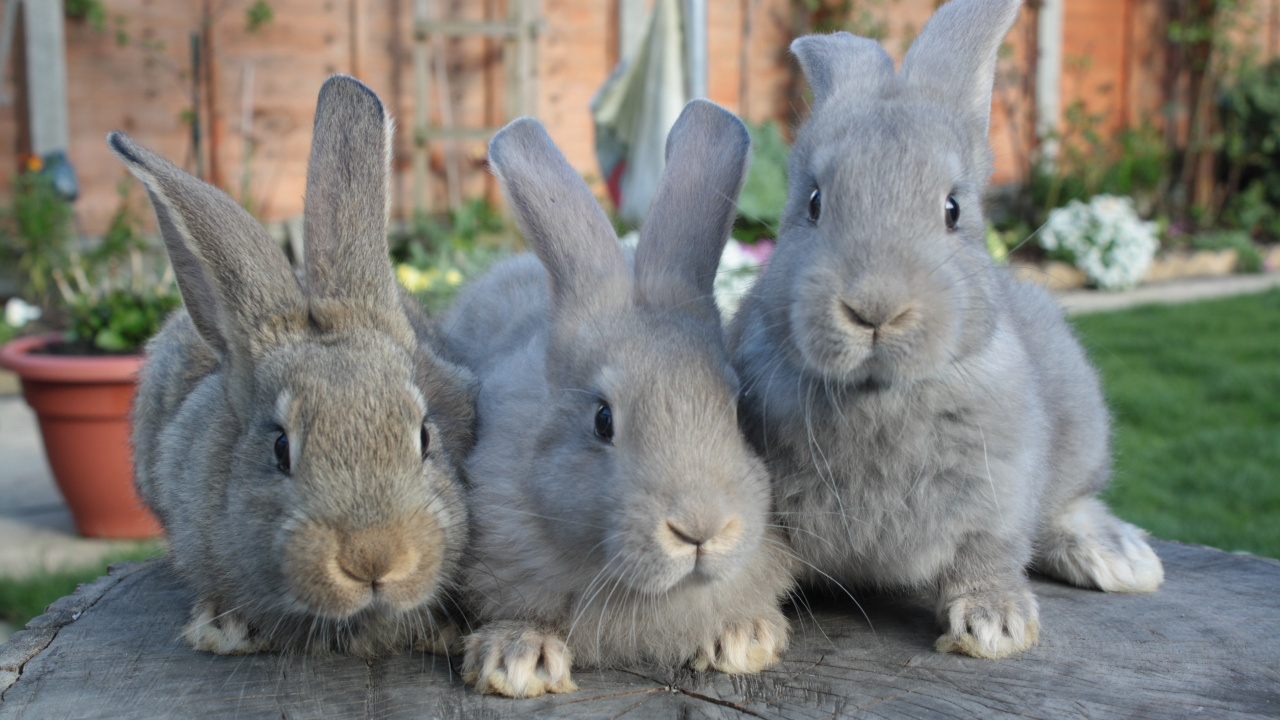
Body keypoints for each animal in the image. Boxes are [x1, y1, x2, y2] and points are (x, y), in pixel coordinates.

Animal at [727, 0, 1164, 660]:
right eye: (814, 203)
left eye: (953, 210)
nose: (875, 309)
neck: (877, 397)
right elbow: (751, 566)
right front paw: (738, 636)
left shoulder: (1000, 489)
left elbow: (987, 553)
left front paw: (995, 627)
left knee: (1067, 508)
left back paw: (1120, 559)